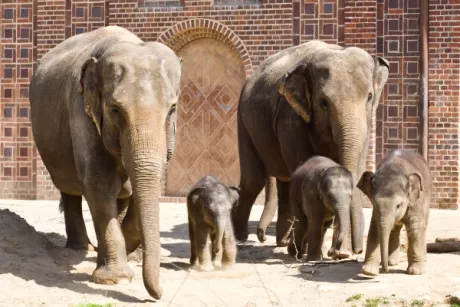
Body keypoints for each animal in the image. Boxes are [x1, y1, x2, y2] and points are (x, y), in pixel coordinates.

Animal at [28, 26, 181, 300]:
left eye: (172, 108)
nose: (159, 294)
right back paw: (81, 249)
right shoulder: (81, 110)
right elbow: (97, 181)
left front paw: (128, 256)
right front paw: (115, 279)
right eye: (115, 109)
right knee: (70, 190)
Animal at [234, 39, 388, 258]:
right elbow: (303, 164)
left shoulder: (366, 123)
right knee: (254, 180)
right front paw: (322, 251)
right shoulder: (290, 116)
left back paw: (283, 243)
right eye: (323, 102)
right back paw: (242, 238)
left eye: (369, 97)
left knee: (284, 181)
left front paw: (339, 252)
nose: (350, 251)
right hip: (243, 120)